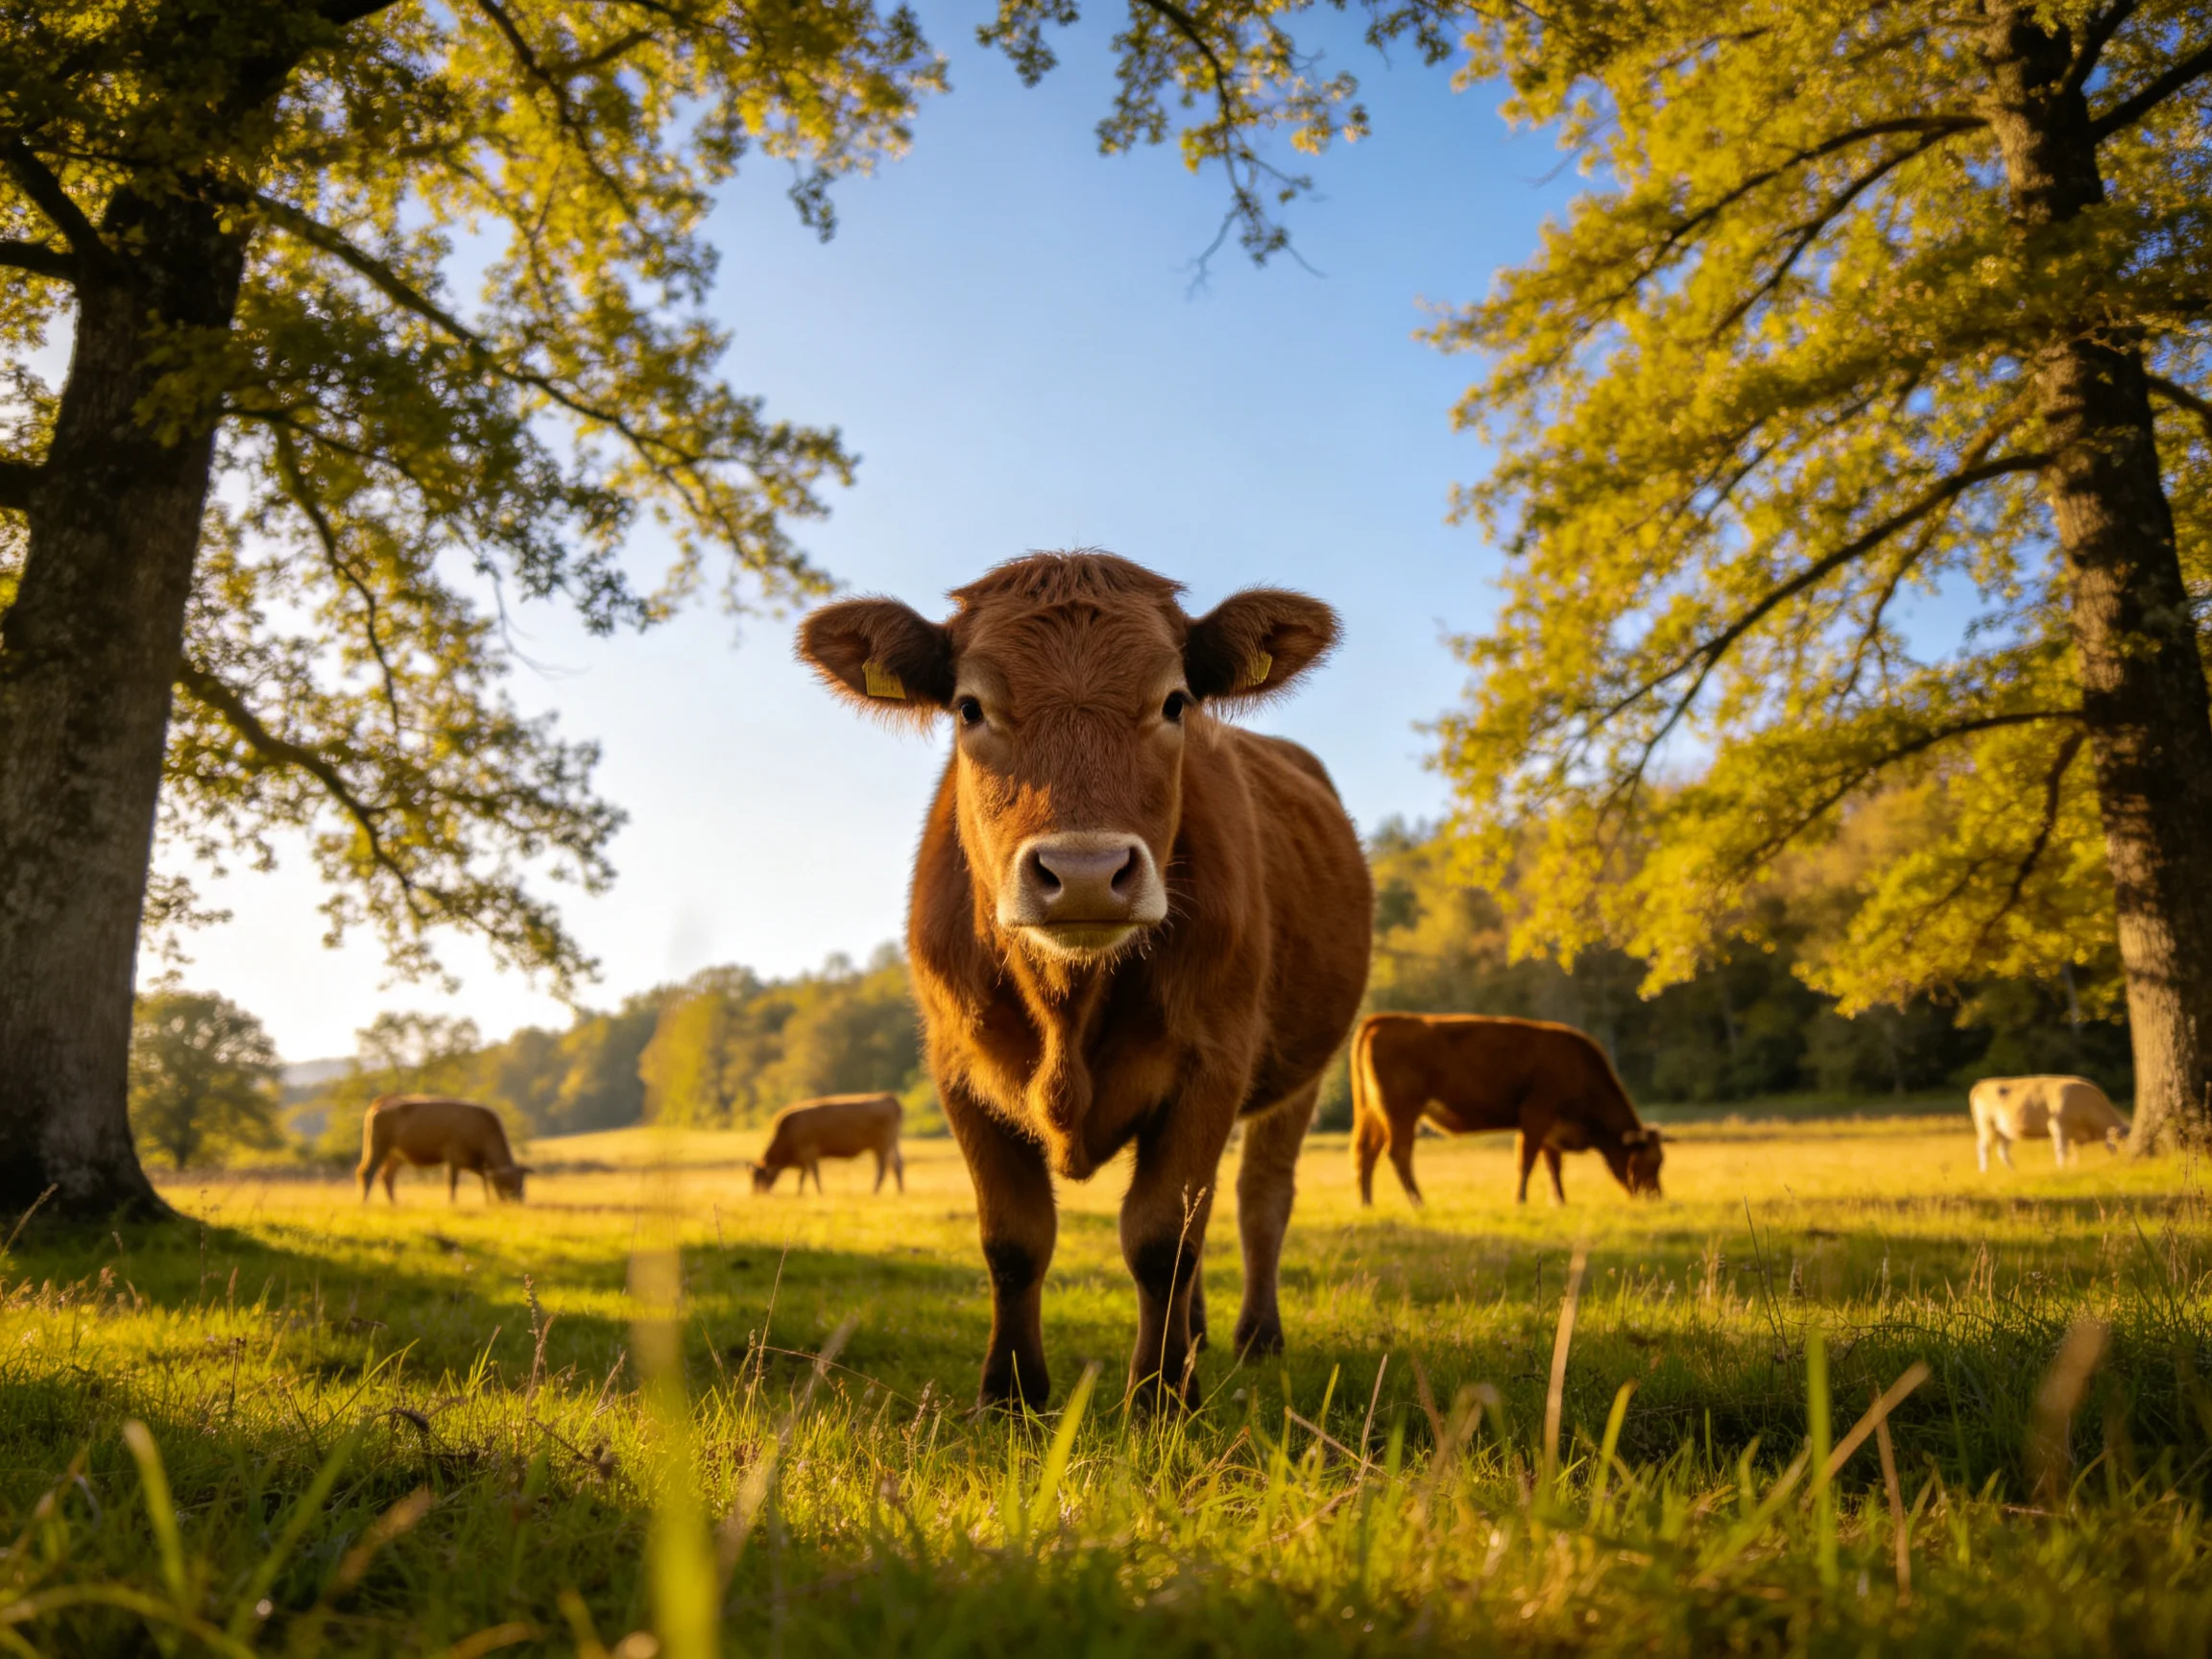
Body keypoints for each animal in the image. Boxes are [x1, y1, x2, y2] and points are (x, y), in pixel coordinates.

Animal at [357, 1095, 530, 1203]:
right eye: (508, 1183)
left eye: (522, 1183)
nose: (518, 1201)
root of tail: (379, 1106)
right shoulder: (454, 1158)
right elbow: (453, 1183)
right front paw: (453, 1203)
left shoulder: (474, 1163)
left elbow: (484, 1181)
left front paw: (487, 1202)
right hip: (379, 1148)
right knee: (368, 1173)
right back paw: (365, 1203)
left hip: (395, 1156)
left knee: (387, 1177)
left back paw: (395, 1204)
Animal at [750, 1093, 906, 1194]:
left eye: (759, 1178)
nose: (756, 1194)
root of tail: (890, 1099)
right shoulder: (807, 1157)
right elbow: (807, 1174)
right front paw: (804, 1192)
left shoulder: (808, 1152)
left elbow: (811, 1174)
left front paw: (814, 1192)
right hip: (892, 1144)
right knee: (897, 1164)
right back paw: (900, 1191)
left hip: (881, 1146)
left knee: (882, 1168)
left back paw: (875, 1191)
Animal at [798, 551, 1372, 1410]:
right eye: (970, 707)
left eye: (1174, 702)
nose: (1086, 873)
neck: (1067, 1001)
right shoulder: (958, 1072)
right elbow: (1013, 1240)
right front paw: (1009, 1395)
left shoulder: (1214, 1060)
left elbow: (1162, 1238)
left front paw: (1161, 1398)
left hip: (1300, 1076)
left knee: (1258, 1199)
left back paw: (1253, 1338)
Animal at [1350, 1013, 1664, 1206]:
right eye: (1649, 1161)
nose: (1656, 1198)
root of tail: (1386, 1019)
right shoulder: (1536, 1115)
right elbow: (1527, 1160)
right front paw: (1521, 1200)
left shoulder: (1550, 1127)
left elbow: (1553, 1165)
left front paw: (1560, 1201)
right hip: (1401, 1111)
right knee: (1398, 1153)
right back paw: (1419, 1202)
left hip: (1375, 1114)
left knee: (1367, 1152)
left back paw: (1368, 1204)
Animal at [1969, 1075, 2128, 1170]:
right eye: (2122, 1142)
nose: (2122, 1162)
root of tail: (1983, 1083)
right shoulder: (2058, 1125)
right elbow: (2061, 1150)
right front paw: (2062, 1168)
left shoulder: (2075, 1135)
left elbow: (2075, 1151)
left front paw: (2074, 1166)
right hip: (1987, 1125)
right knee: (1983, 1147)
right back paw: (1985, 1172)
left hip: (2005, 1130)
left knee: (2002, 1150)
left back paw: (2013, 1171)